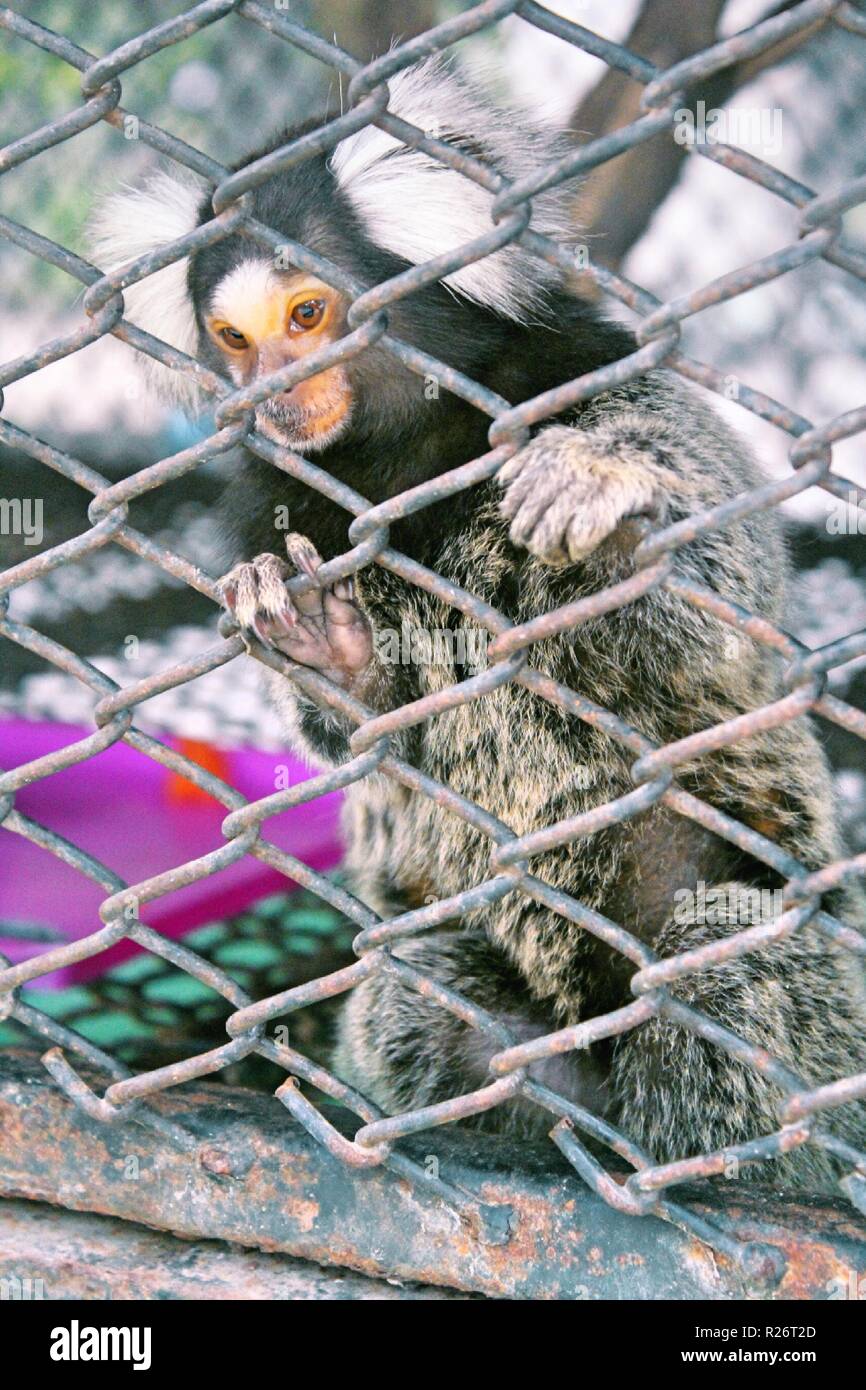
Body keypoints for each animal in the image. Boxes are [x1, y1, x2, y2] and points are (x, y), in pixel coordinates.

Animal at [94, 54, 866, 1184]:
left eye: (308, 315)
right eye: (233, 338)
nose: (270, 392)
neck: (406, 447)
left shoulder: (590, 373)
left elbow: (729, 610)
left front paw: (608, 517)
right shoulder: (272, 499)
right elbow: (369, 735)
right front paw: (323, 646)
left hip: (816, 1008)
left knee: (717, 961)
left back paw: (719, 1176)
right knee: (420, 989)